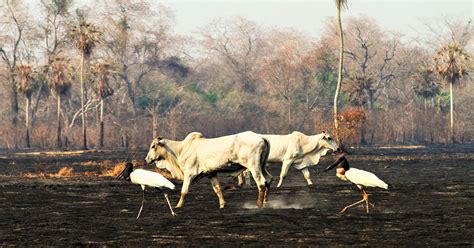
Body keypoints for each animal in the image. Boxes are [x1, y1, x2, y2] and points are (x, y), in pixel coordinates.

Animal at [144, 132, 272, 209]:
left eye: (153, 146)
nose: (147, 159)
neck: (180, 150)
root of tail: (261, 137)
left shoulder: (189, 173)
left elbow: (184, 191)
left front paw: (178, 206)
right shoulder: (211, 174)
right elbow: (217, 189)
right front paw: (222, 204)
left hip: (254, 166)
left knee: (261, 183)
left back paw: (259, 204)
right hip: (262, 166)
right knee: (268, 180)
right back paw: (266, 202)